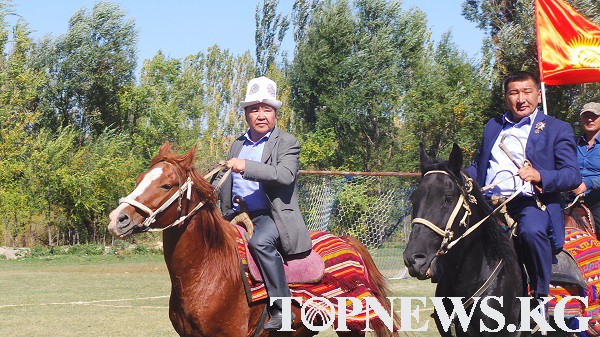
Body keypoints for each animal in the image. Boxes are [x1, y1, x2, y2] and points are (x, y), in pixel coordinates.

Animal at [108, 142, 398, 336]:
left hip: (351, 325)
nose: (118, 219)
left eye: (166, 185)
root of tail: (347, 241)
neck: (208, 270)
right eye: (140, 179)